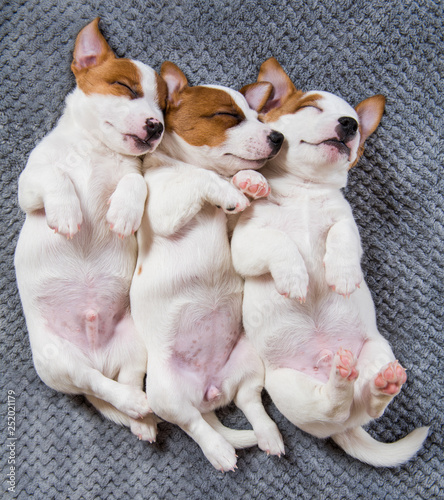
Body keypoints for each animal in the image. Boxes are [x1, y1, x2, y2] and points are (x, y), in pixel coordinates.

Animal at [14, 19, 166, 440]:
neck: (94, 150)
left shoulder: (134, 174)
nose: (157, 126)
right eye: (126, 88)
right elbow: (56, 175)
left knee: (123, 381)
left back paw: (142, 415)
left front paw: (124, 214)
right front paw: (66, 213)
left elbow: (136, 182)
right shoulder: (28, 184)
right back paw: (135, 406)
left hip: (135, 346)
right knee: (96, 384)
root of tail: (98, 355)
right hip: (58, 363)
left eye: (164, 106)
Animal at [130, 60, 286, 470]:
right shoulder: (163, 209)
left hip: (249, 363)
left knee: (249, 400)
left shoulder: (232, 231)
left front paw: (250, 181)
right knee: (192, 424)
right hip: (164, 393)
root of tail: (210, 392)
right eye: (228, 116)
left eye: (259, 116)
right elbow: (203, 176)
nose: (278, 136)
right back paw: (220, 451)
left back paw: (268, 435)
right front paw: (229, 188)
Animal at [231, 58, 428, 468]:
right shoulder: (246, 244)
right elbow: (279, 242)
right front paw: (294, 278)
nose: (350, 124)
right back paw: (336, 385)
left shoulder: (345, 222)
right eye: (311, 107)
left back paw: (379, 384)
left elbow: (341, 239)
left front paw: (344, 274)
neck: (305, 189)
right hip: (285, 385)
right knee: (327, 406)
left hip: (377, 353)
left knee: (365, 405)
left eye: (355, 122)